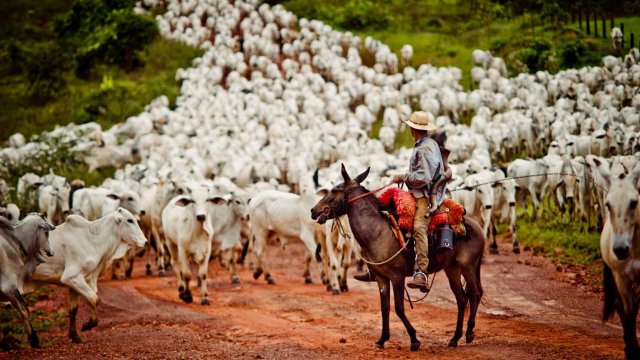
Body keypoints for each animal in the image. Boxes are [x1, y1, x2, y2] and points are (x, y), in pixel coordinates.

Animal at [25, 210, 146, 344]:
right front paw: (88, 325)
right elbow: (94, 299)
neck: (93, 239)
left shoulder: (74, 283)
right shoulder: (72, 277)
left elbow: (73, 309)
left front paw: (75, 336)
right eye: (130, 220)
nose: (145, 241)